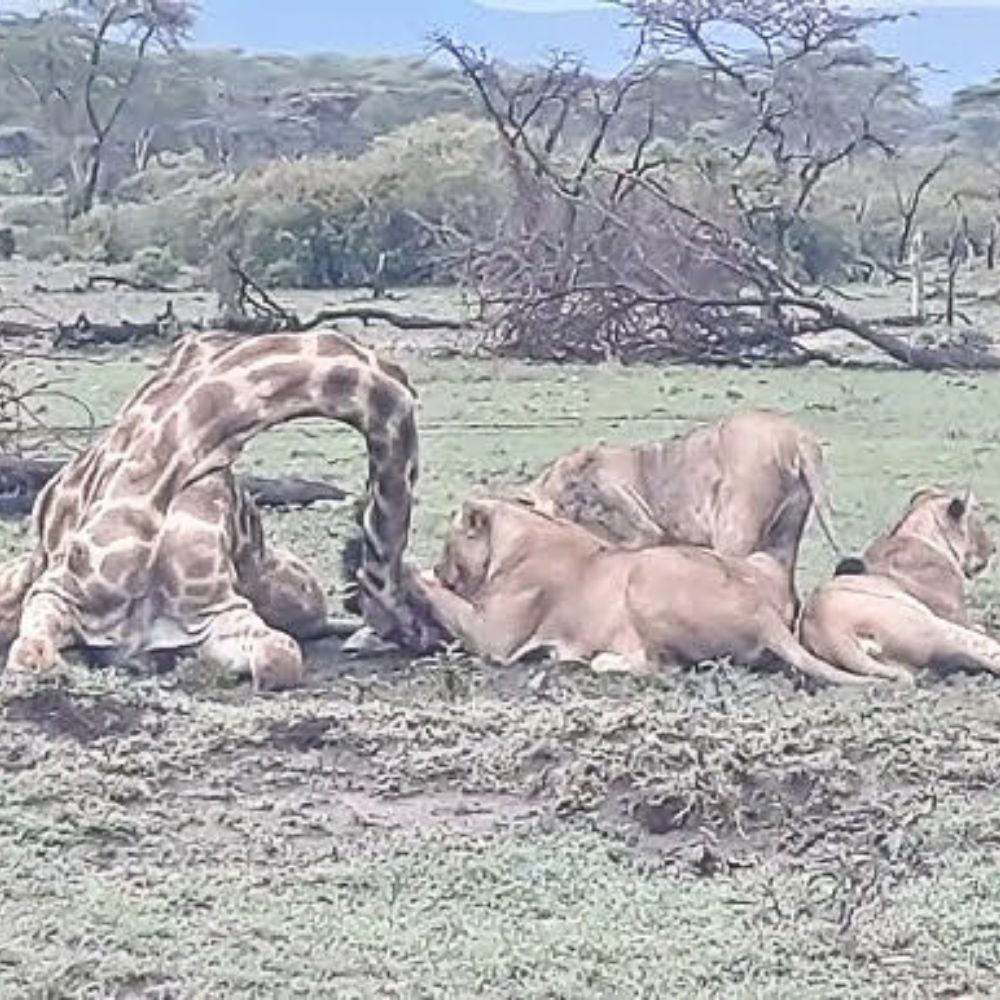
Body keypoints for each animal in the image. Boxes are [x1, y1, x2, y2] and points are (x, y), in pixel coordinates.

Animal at [0, 332, 442, 692]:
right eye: (415, 596)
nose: (424, 636)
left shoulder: (218, 613)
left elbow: (280, 655)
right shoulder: (55, 591)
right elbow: (31, 659)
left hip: (298, 595)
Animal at [410, 500, 872, 688]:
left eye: (448, 540)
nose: (440, 565)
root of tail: (764, 614)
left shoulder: (494, 638)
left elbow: (446, 599)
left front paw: (412, 570)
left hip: (646, 574)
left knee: (659, 666)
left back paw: (591, 661)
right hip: (758, 560)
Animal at [520, 408, 840, 604]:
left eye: (573, 487)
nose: (574, 506)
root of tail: (796, 436)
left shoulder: (638, 518)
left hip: (734, 527)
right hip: (785, 533)